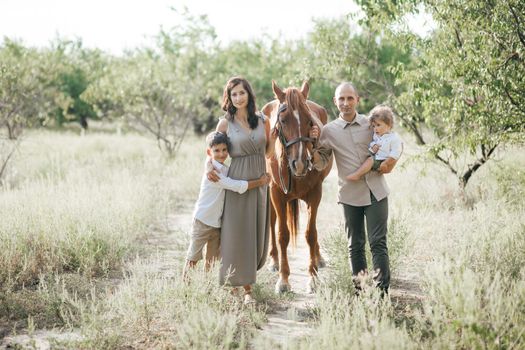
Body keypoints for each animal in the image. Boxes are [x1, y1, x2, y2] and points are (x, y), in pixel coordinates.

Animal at [262, 80, 332, 292]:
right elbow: (282, 234)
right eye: (283, 121)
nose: (300, 163)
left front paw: (313, 277)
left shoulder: (315, 194)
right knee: (272, 221)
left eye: (310, 120)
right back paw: (274, 261)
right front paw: (283, 280)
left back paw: (318, 258)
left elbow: (311, 234)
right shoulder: (277, 194)